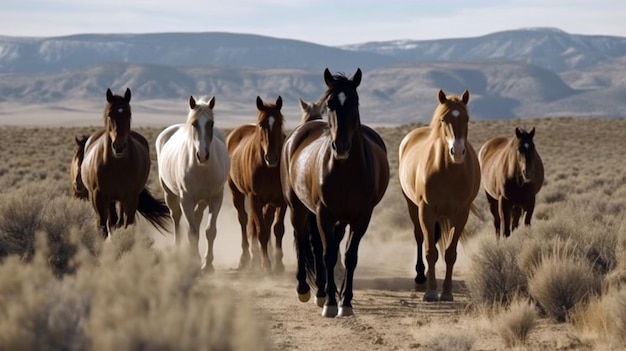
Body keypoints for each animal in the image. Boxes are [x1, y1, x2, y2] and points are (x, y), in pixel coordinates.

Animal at [80, 87, 171, 239]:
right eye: (109, 114)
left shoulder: (131, 198)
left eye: (129, 114)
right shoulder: (98, 197)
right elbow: (103, 226)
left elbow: (127, 224)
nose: (119, 146)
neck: (117, 166)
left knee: (119, 221)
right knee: (112, 222)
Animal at [155, 96, 229, 272]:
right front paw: (195, 262)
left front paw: (208, 264)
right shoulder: (186, 200)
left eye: (211, 123)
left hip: (202, 201)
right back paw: (178, 250)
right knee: (176, 218)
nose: (202, 155)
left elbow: (210, 231)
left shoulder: (216, 198)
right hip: (170, 194)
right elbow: (192, 232)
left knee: (197, 217)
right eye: (194, 123)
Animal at [227, 97, 288, 276]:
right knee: (243, 219)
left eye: (279, 123)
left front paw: (278, 264)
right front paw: (266, 265)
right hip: (237, 194)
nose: (271, 157)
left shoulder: (280, 201)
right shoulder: (254, 197)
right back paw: (246, 259)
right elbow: (262, 232)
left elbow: (277, 229)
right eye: (261, 124)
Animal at [280, 69, 388, 320]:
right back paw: (305, 290)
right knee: (303, 240)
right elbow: (327, 254)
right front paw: (330, 302)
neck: (345, 171)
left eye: (355, 102)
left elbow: (349, 256)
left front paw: (345, 301)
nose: (341, 146)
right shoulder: (323, 213)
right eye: (330, 104)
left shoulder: (361, 217)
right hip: (298, 208)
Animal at [398, 89, 480, 302]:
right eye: (444, 119)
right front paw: (431, 291)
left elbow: (450, 253)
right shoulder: (426, 210)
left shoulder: (461, 214)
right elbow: (430, 252)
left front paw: (447, 292)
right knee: (420, 237)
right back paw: (420, 278)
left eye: (467, 118)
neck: (448, 172)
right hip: (413, 206)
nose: (457, 152)